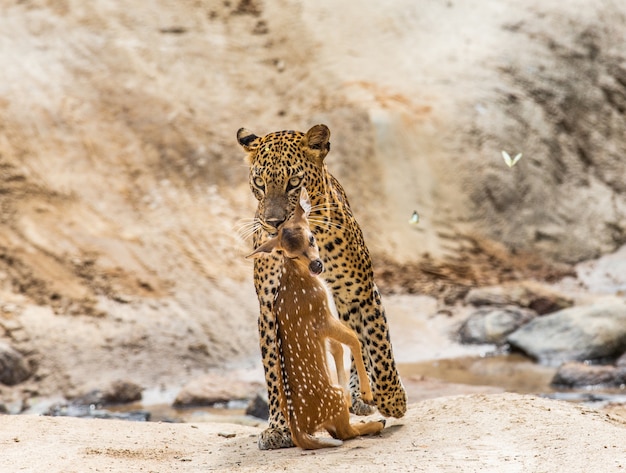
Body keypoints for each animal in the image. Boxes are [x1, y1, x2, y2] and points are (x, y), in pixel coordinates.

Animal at [234, 123, 404, 448]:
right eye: (260, 182)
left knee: (361, 341)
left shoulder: (360, 292)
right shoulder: (270, 309)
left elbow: (379, 346)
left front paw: (392, 399)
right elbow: (275, 371)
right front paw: (278, 427)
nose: (273, 222)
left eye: (294, 182)